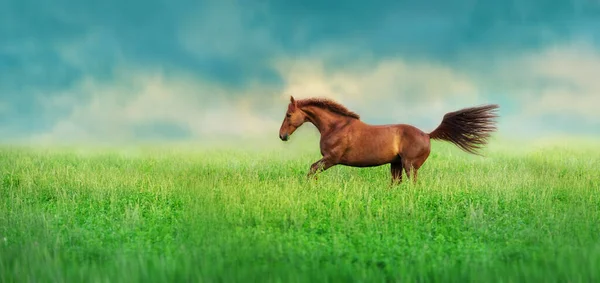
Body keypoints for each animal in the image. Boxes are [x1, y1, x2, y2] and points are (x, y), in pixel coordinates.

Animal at [278, 95, 500, 184]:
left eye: (288, 115)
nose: (282, 136)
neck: (336, 127)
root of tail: (427, 134)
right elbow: (312, 170)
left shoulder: (332, 158)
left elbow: (312, 169)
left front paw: (311, 188)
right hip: (396, 164)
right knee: (396, 184)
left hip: (410, 166)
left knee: (412, 185)